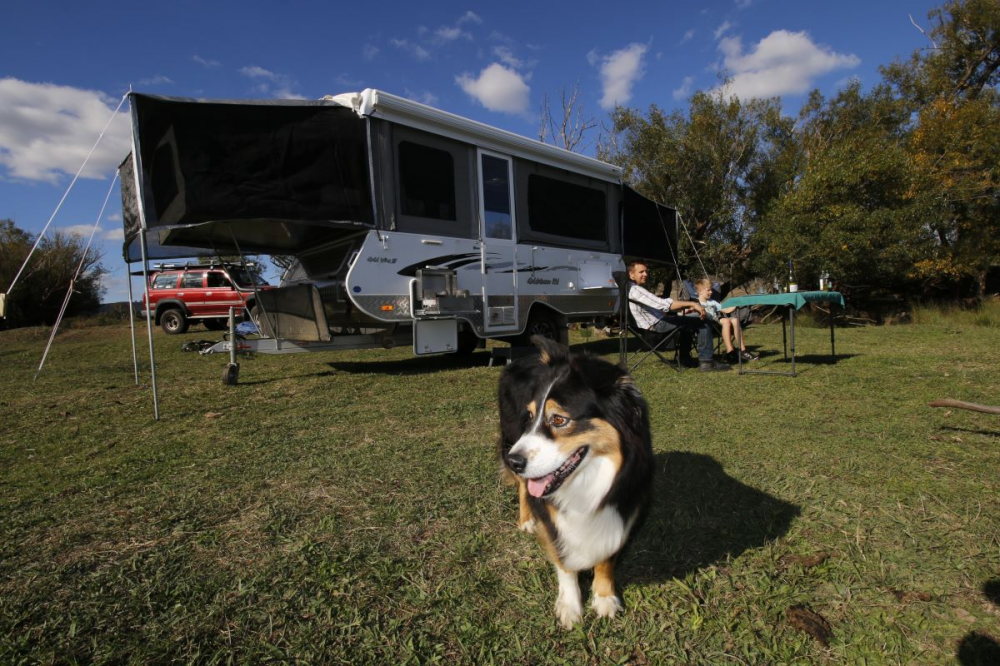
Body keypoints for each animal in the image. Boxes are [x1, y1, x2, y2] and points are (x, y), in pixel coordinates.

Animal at [500, 334, 656, 624]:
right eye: (530, 417)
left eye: (559, 419)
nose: (513, 461)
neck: (587, 479)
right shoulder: (549, 511)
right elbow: (562, 556)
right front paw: (570, 604)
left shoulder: (621, 505)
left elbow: (607, 556)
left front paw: (604, 597)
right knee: (523, 488)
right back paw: (526, 519)